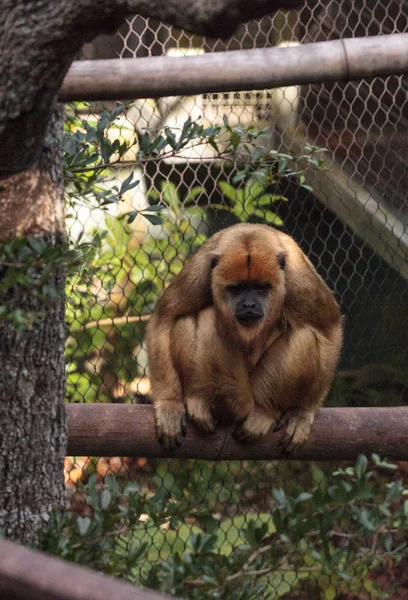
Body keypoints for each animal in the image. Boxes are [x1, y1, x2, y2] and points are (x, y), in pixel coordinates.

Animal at [145, 224, 342, 450]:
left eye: (259, 287)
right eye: (237, 288)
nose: (249, 305)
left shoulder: (298, 276)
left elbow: (328, 328)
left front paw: (302, 413)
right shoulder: (200, 268)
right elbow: (164, 318)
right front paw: (169, 405)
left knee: (306, 338)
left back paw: (265, 410)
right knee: (184, 321)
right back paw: (198, 399)